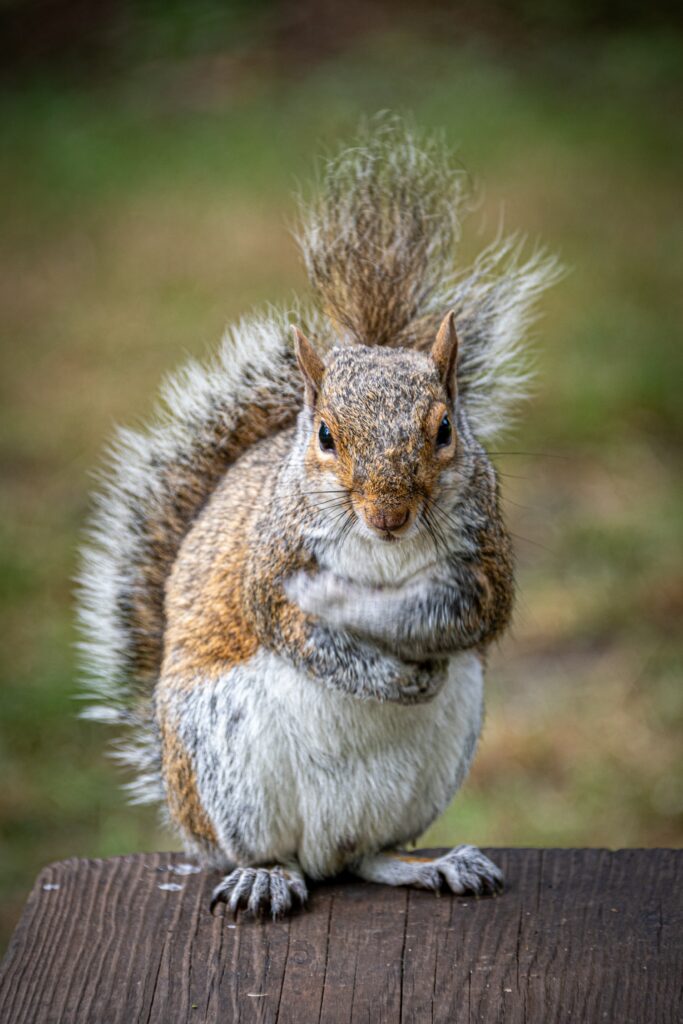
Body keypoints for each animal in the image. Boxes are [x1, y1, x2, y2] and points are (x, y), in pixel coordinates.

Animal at [78, 118, 559, 918]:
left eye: (444, 431)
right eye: (327, 436)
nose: (388, 514)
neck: (383, 554)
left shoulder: (484, 564)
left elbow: (465, 612)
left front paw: (366, 611)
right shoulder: (266, 568)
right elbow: (299, 632)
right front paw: (365, 643)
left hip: (433, 760)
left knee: (367, 857)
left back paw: (431, 866)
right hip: (224, 761)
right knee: (268, 851)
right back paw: (266, 876)